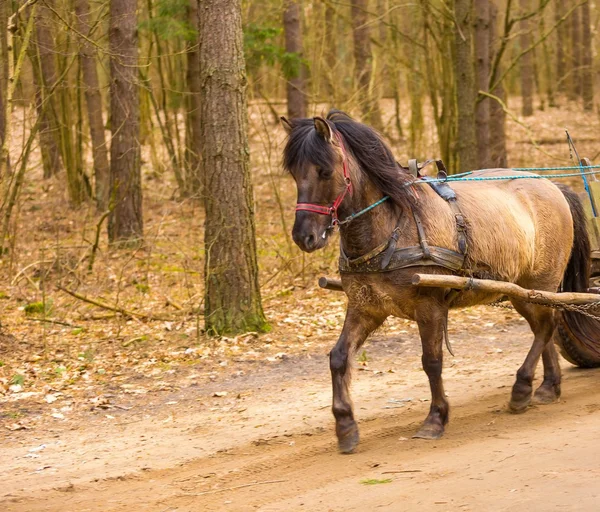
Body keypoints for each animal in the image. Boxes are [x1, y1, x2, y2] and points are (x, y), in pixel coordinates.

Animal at [282, 108, 592, 452]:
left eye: (324, 171)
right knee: (544, 327)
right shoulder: (366, 308)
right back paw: (548, 386)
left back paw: (522, 387)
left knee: (546, 326)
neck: (393, 225)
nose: (304, 237)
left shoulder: (429, 307)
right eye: (293, 174)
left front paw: (435, 418)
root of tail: (553, 186)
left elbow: (431, 361)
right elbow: (338, 358)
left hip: (539, 283)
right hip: (521, 291)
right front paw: (346, 425)